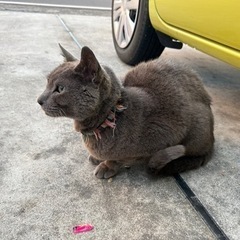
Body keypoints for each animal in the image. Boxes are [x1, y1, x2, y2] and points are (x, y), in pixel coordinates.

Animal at [37, 46, 214, 179]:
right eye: (47, 82)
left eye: (60, 89)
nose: (39, 100)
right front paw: (97, 158)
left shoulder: (163, 135)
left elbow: (119, 159)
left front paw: (107, 166)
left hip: (197, 125)